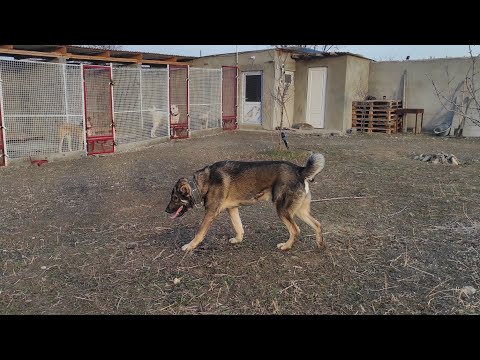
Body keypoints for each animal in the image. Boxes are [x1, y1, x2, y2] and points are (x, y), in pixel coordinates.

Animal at [166, 153, 326, 252]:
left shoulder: (211, 212)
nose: (166, 210)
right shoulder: (232, 209)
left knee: (295, 230)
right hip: (299, 211)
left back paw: (286, 246)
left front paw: (190, 246)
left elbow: (199, 233)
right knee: (317, 224)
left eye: (175, 198)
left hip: (282, 210)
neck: (202, 183)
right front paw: (238, 240)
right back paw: (320, 244)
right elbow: (239, 227)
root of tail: (299, 170)